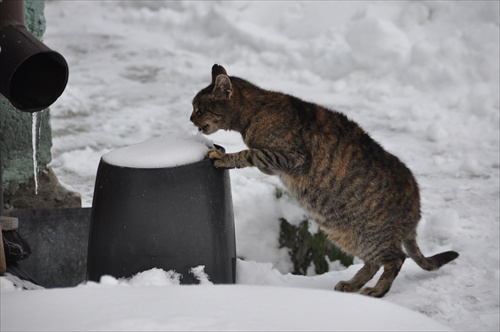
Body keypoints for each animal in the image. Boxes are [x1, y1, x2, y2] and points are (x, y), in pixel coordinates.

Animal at [189, 63, 458, 296]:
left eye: (199, 108)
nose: (191, 119)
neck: (252, 113)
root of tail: (416, 200)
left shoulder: (292, 156)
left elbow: (250, 153)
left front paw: (223, 157)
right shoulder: (276, 164)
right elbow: (256, 157)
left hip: (372, 233)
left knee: (396, 258)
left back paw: (377, 291)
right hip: (346, 232)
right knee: (373, 262)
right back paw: (352, 284)